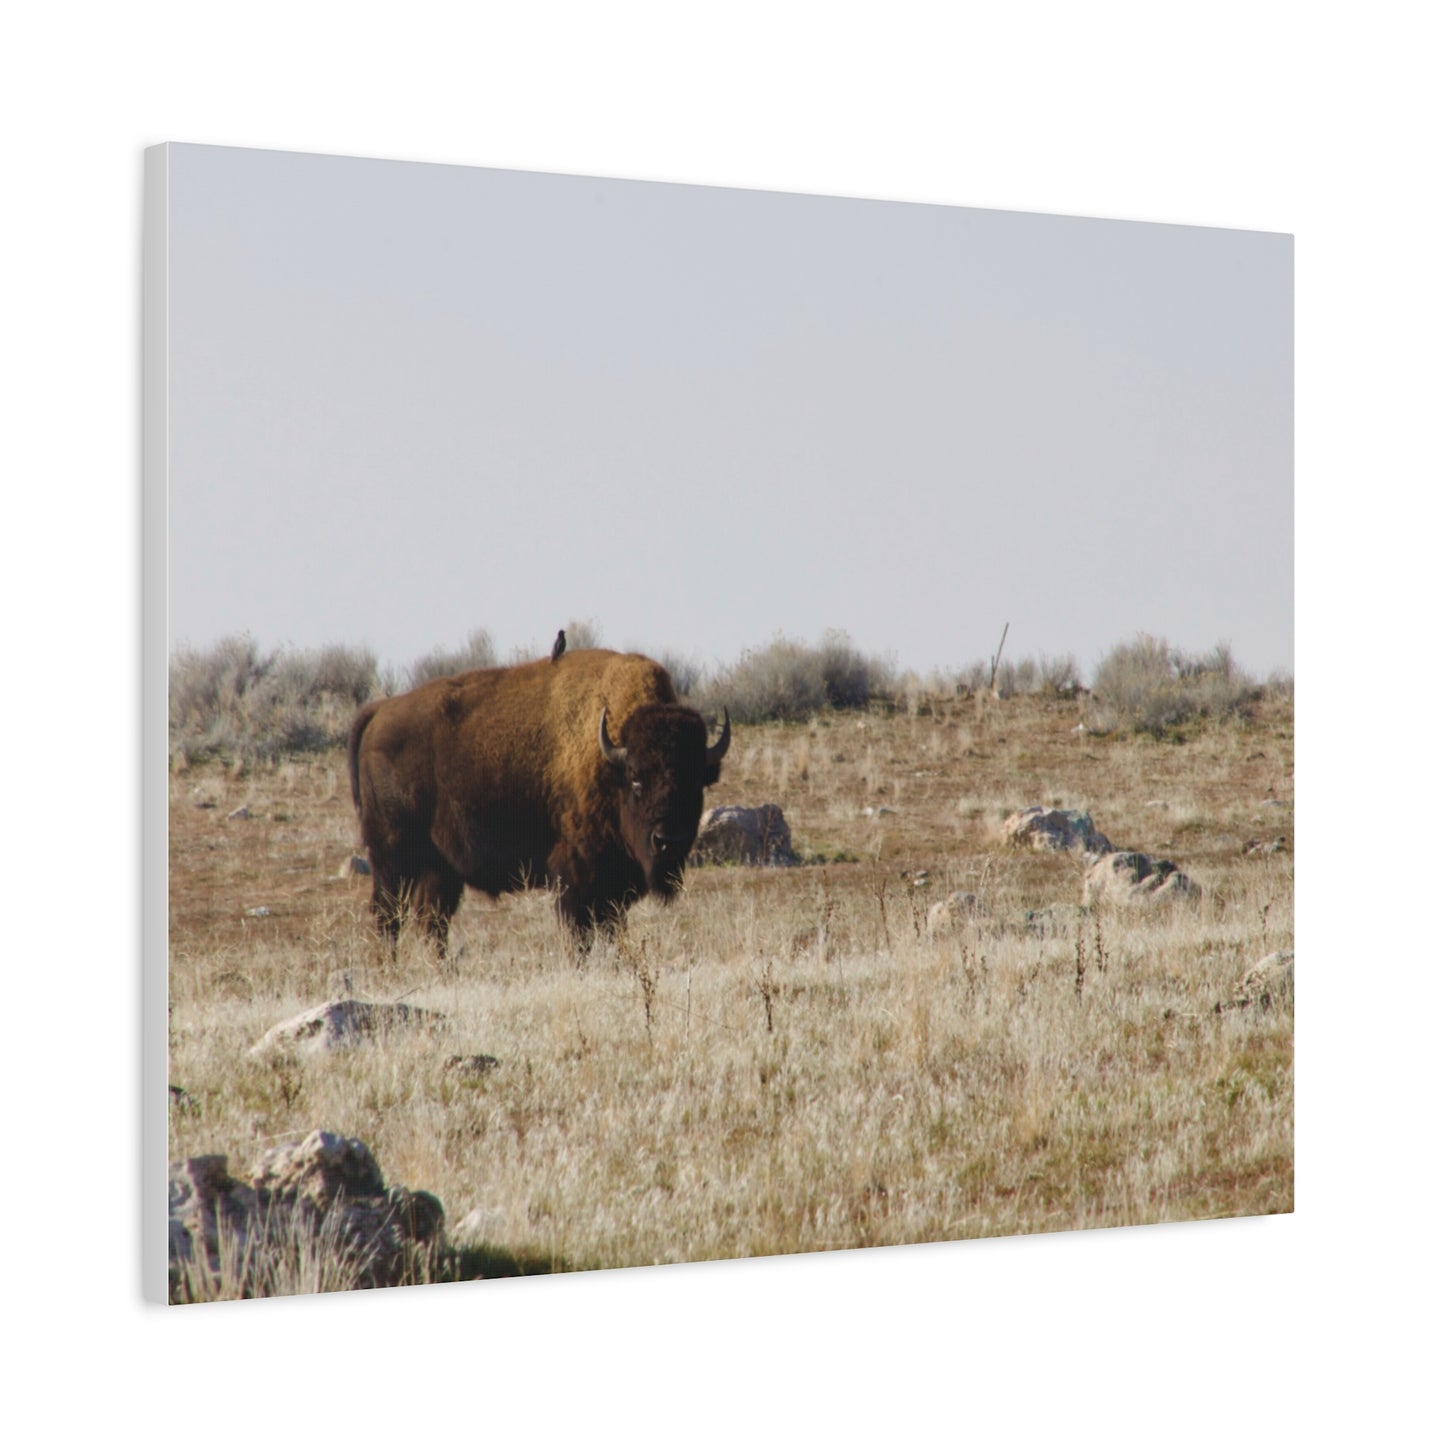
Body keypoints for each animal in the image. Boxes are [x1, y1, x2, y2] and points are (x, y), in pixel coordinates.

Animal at [347, 649, 729, 949]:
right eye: (636, 778)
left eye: (697, 781)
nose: (668, 841)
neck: (609, 760)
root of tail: (379, 711)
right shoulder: (576, 876)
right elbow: (580, 934)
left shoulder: (614, 888)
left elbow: (609, 929)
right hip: (392, 858)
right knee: (388, 917)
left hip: (438, 867)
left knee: (431, 922)